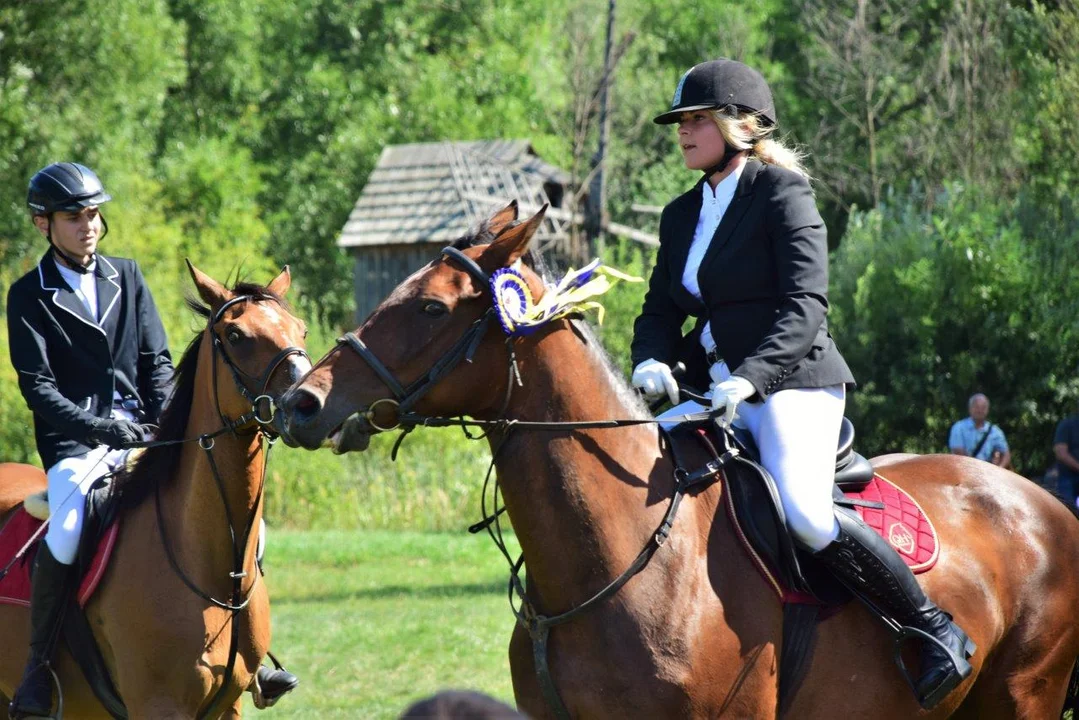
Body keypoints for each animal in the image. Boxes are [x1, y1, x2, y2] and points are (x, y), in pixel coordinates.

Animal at [0, 264, 310, 720]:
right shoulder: (158, 705)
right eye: (236, 336)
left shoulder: (229, 705)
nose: (307, 403)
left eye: (300, 329)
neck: (218, 574)